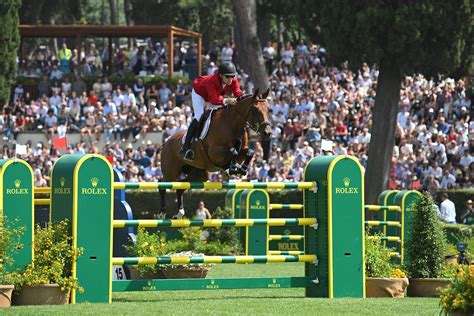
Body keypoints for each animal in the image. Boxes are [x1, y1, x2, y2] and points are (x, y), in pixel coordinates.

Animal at [159, 87, 270, 218]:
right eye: (256, 109)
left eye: (268, 109)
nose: (268, 133)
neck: (233, 125)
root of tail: (166, 142)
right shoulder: (214, 152)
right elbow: (232, 151)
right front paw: (233, 168)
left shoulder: (242, 151)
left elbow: (249, 152)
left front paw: (240, 169)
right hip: (171, 172)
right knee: (162, 184)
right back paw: (162, 213)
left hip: (200, 175)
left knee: (180, 187)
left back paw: (180, 213)